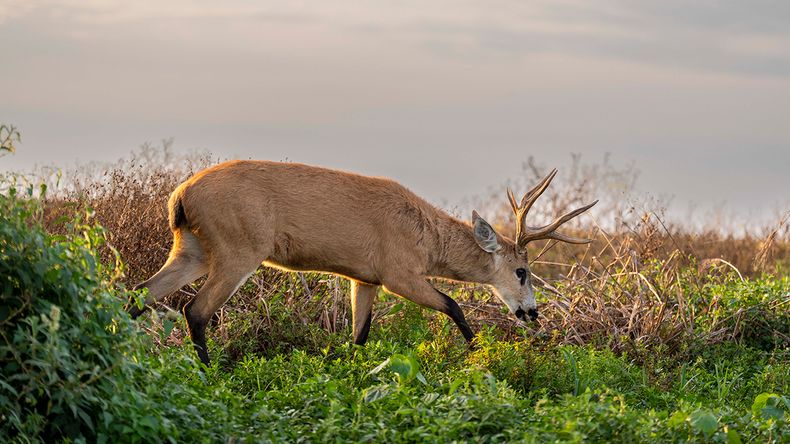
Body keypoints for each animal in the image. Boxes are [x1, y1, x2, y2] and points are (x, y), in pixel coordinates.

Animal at [127, 161, 597, 366]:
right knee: (195, 310)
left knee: (139, 294)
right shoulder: (399, 274)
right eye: (521, 270)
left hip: (192, 249)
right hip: (238, 249)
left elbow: (359, 336)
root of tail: (181, 194)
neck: (425, 236)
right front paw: (480, 355)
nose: (532, 312)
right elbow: (453, 305)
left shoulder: (365, 279)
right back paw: (209, 373)